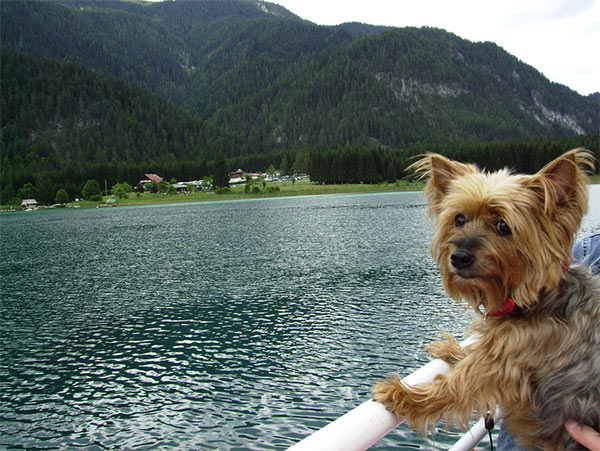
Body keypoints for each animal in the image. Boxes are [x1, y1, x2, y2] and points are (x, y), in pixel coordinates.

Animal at [372, 150, 596, 450]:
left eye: (503, 226)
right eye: (459, 219)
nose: (459, 257)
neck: (533, 299)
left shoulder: (505, 361)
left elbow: (457, 385)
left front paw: (402, 395)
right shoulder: (496, 349)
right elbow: (472, 353)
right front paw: (451, 349)